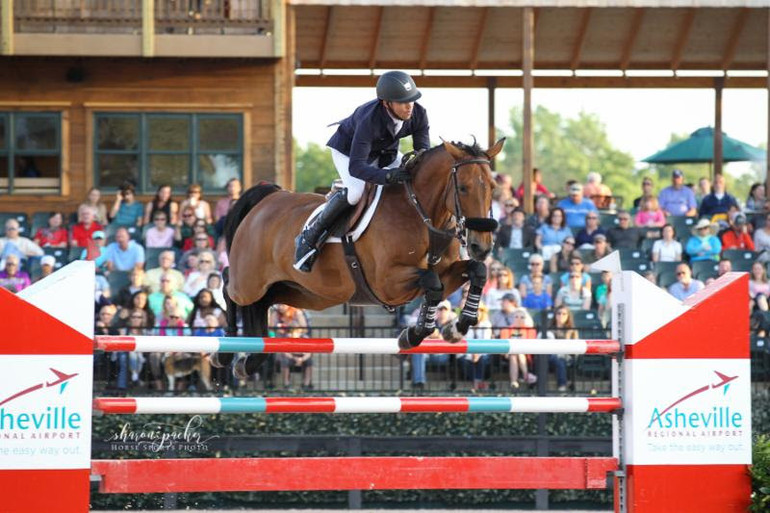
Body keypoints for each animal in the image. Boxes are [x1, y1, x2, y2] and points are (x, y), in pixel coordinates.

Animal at [213, 139, 508, 376]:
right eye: (464, 188)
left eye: (493, 187)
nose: (481, 246)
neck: (422, 213)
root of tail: (267, 197)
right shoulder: (387, 283)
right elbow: (431, 282)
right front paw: (413, 335)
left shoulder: (444, 272)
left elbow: (476, 272)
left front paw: (456, 328)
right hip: (249, 282)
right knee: (229, 287)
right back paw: (224, 352)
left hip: (302, 292)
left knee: (261, 305)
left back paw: (248, 362)